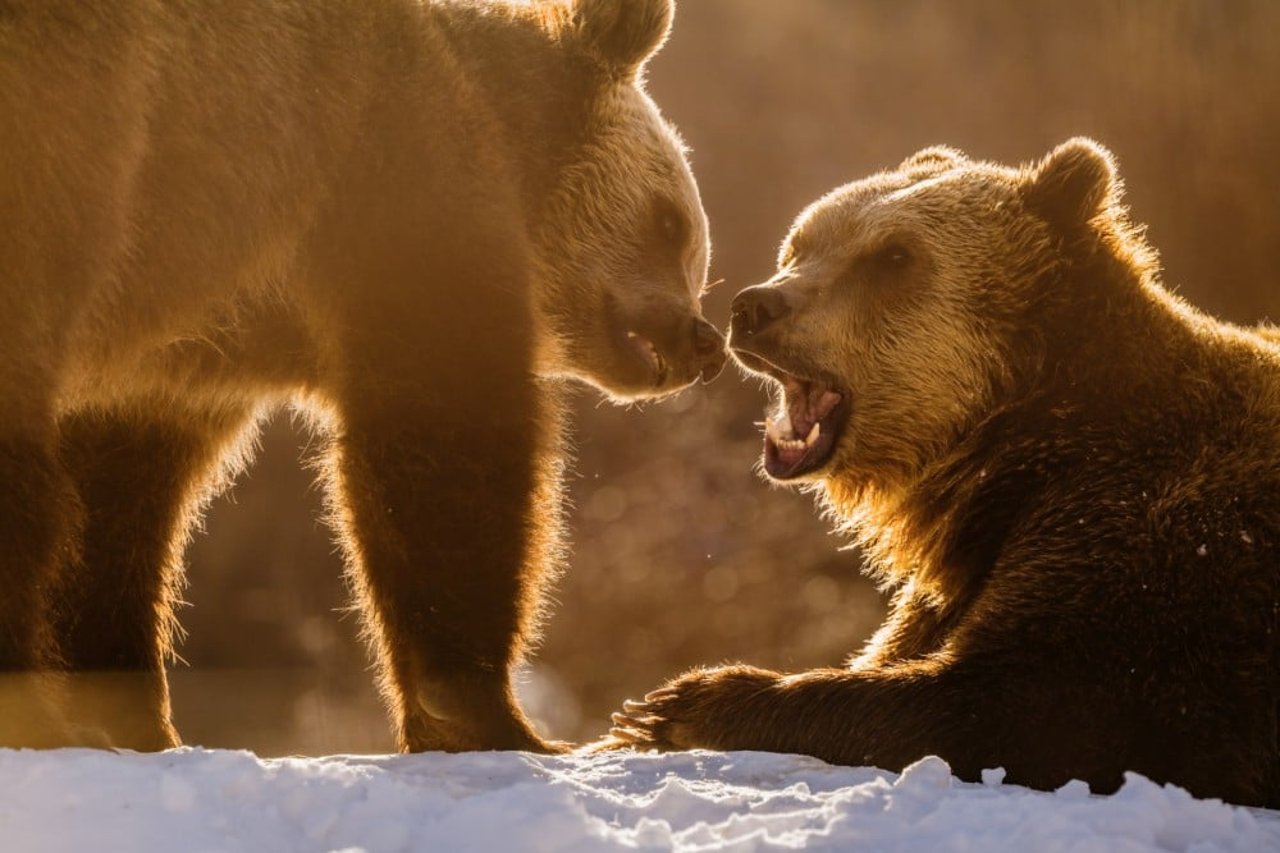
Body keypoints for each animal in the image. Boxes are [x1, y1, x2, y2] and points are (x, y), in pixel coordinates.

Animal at [0, 0, 721, 753]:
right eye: (672, 222)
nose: (704, 340)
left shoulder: (171, 363)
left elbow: (117, 500)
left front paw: (134, 716)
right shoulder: (383, 168)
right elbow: (440, 436)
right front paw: (492, 717)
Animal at [606, 137, 1280, 804]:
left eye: (894, 255)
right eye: (801, 242)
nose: (755, 306)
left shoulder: (1154, 546)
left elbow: (1021, 705)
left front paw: (680, 704)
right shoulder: (965, 570)